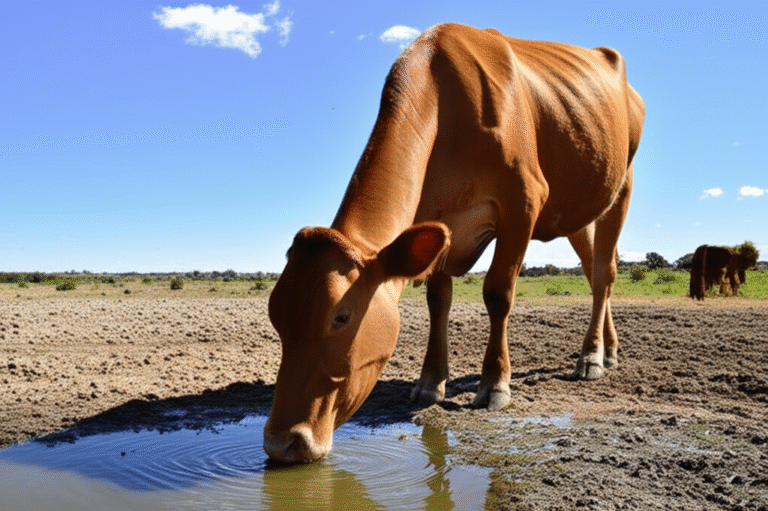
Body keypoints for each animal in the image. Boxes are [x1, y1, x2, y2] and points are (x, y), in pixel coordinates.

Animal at [264, 23, 645, 464]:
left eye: (340, 317)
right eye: (275, 315)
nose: (281, 442)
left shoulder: (524, 201)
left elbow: (498, 294)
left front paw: (494, 384)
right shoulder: (438, 221)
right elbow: (438, 301)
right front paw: (431, 382)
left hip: (621, 187)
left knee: (604, 273)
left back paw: (592, 357)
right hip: (575, 211)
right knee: (592, 267)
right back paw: (610, 349)